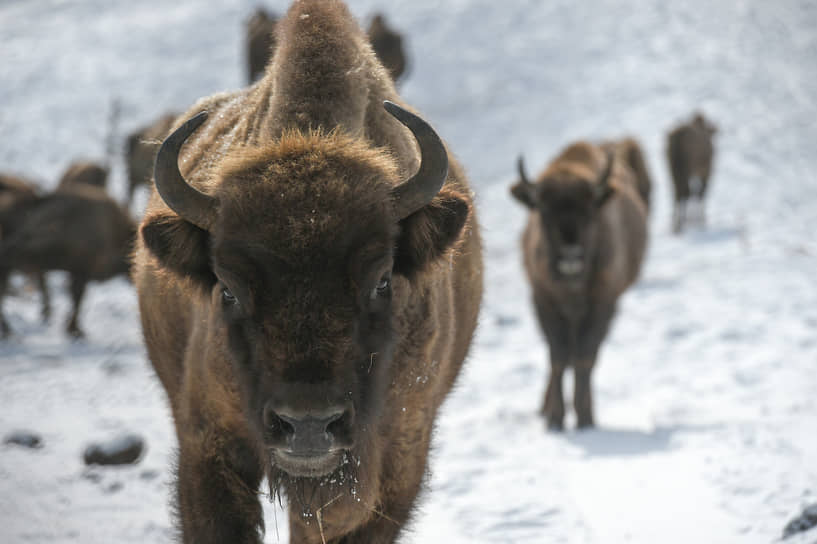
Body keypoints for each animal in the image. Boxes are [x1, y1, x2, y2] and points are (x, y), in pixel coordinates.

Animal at [510, 140, 652, 430]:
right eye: (543, 211)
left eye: (590, 211)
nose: (571, 259)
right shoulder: (543, 300)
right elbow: (558, 355)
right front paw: (555, 418)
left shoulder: (604, 304)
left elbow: (585, 355)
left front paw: (585, 417)